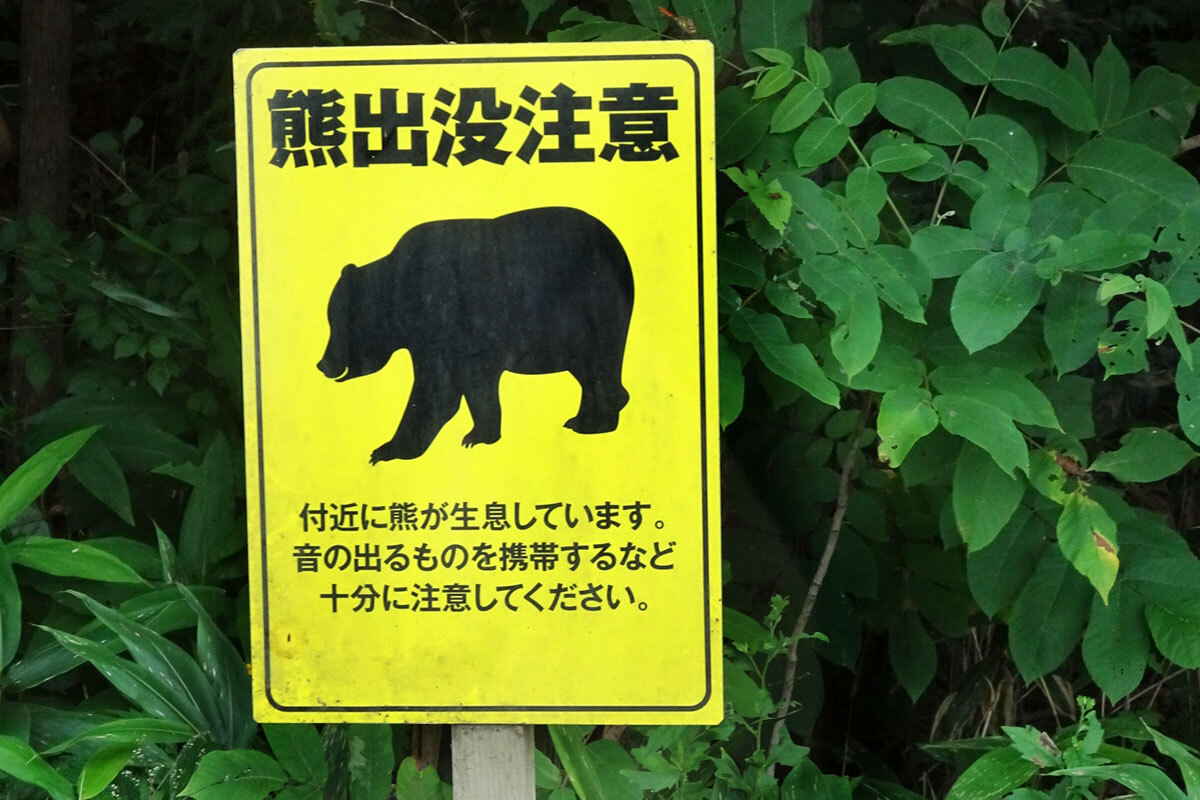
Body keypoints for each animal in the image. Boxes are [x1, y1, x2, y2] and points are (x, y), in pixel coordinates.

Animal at [317, 206, 635, 464]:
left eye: (338, 323)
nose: (323, 364)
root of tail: (617, 247)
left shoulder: (445, 324)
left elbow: (438, 391)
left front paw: (385, 450)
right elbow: (472, 386)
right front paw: (479, 434)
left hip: (590, 311)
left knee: (599, 364)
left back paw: (593, 424)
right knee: (591, 372)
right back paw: (586, 416)